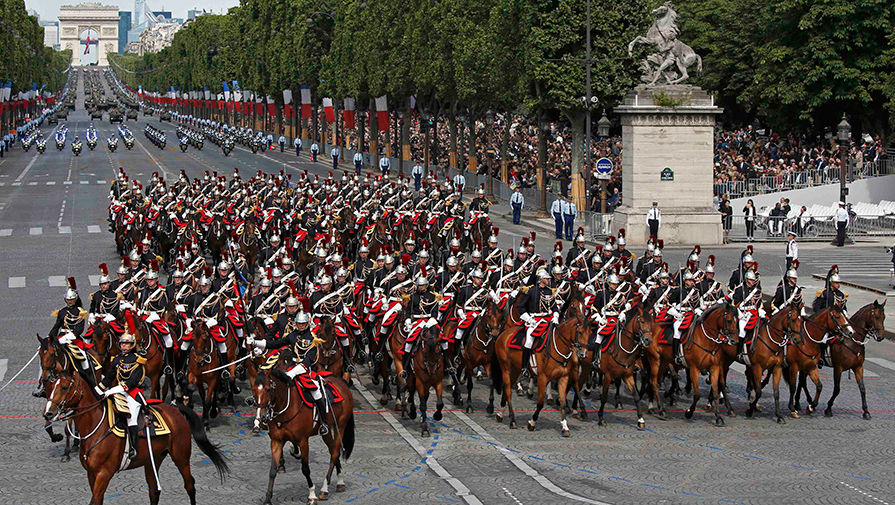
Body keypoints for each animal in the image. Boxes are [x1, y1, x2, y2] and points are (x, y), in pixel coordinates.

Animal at [44, 366, 229, 504]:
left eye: (64, 387)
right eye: (51, 387)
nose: (48, 413)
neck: (96, 427)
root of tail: (175, 409)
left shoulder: (104, 473)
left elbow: (95, 501)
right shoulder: (91, 473)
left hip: (181, 457)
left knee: (190, 485)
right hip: (153, 459)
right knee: (154, 491)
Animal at [260, 362, 356, 504]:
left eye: (267, 389)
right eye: (254, 389)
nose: (262, 417)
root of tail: (342, 382)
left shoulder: (303, 441)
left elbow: (305, 469)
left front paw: (312, 495)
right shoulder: (276, 441)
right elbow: (273, 470)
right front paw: (267, 498)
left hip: (341, 425)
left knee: (334, 453)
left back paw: (324, 489)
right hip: (326, 431)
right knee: (334, 450)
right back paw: (340, 482)